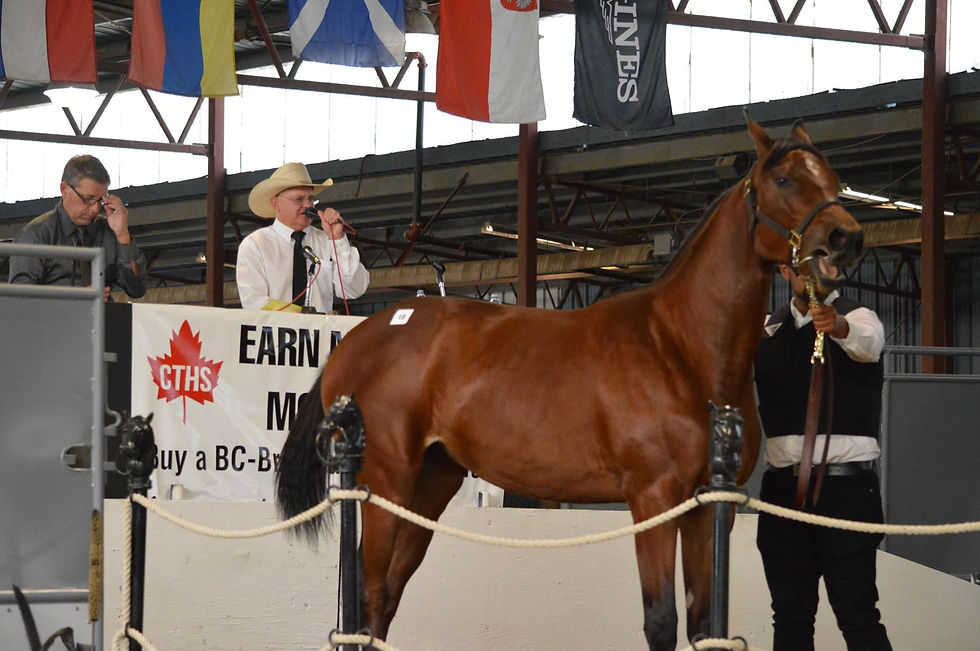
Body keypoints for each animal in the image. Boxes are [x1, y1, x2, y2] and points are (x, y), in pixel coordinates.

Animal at [276, 118, 864, 650]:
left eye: (834, 180)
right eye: (783, 180)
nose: (847, 239)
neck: (679, 347)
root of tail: (356, 339)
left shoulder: (707, 507)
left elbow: (703, 626)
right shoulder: (653, 500)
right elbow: (662, 622)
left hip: (429, 486)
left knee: (383, 601)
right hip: (388, 483)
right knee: (369, 597)